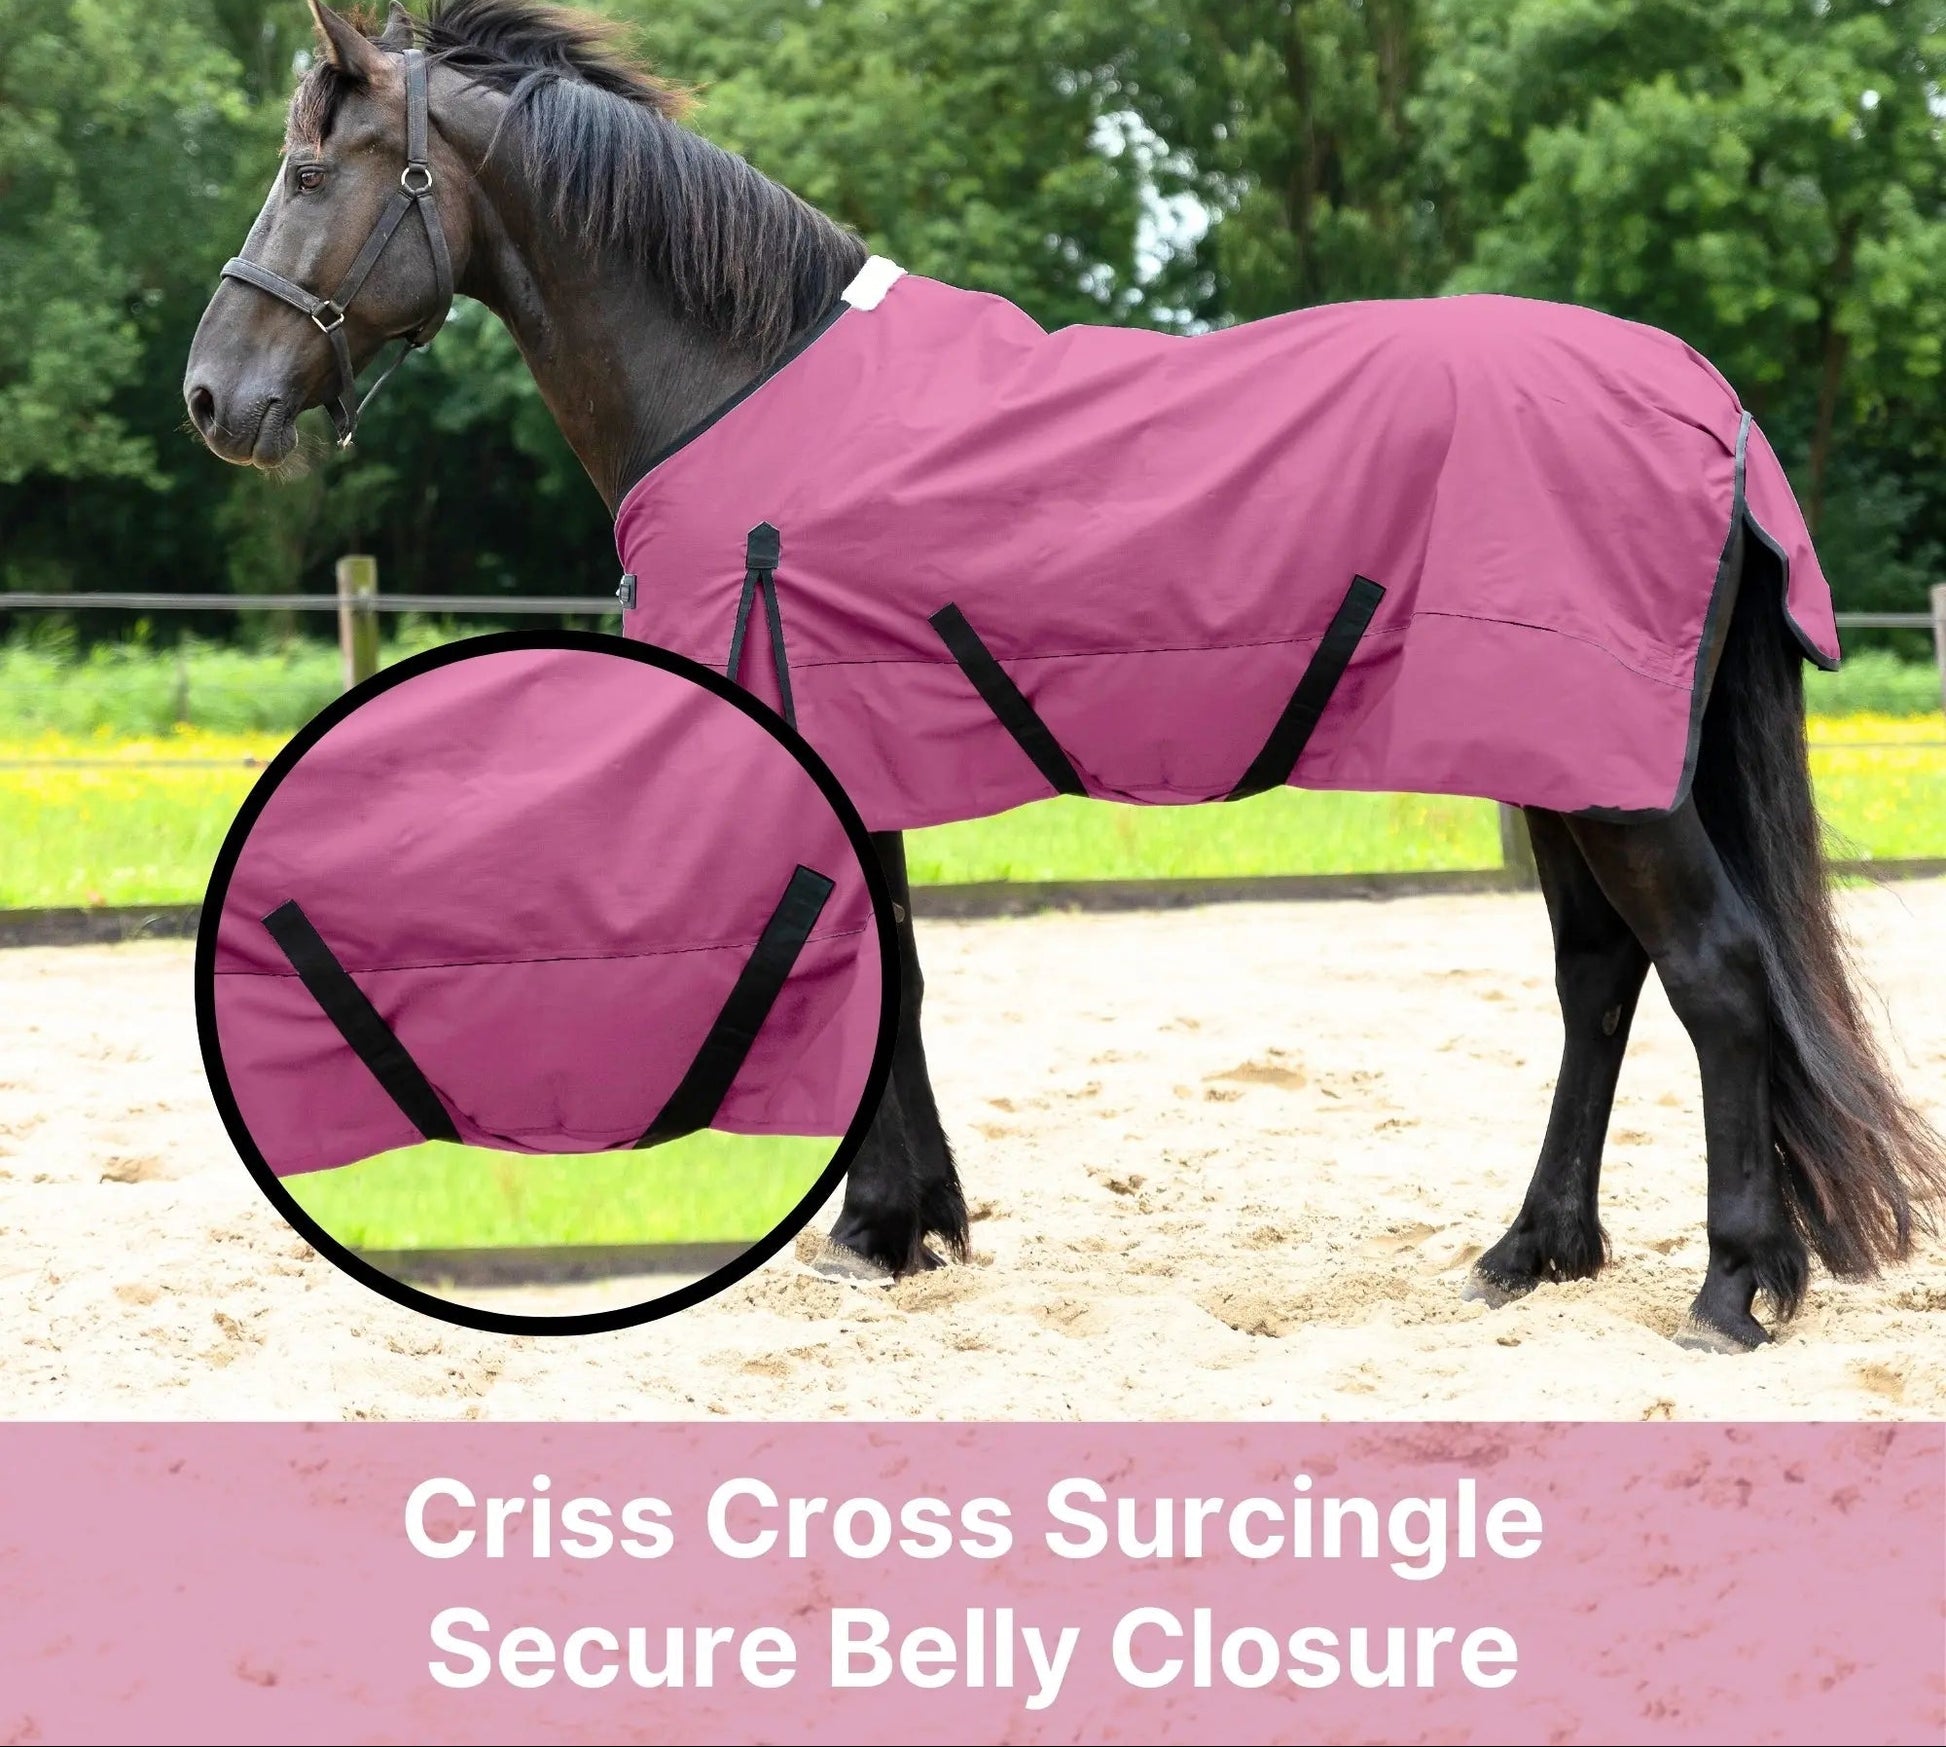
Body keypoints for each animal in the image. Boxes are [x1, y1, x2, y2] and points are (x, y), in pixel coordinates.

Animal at [184, 0, 1944, 1352]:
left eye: (304, 168)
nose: (213, 397)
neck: (739, 380)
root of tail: (1707, 400)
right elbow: (890, 960)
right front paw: (911, 1223)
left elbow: (869, 968)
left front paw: (875, 1229)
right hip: (1563, 759)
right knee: (1599, 979)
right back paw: (1530, 1253)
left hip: (1612, 775)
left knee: (1713, 973)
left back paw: (1732, 1287)